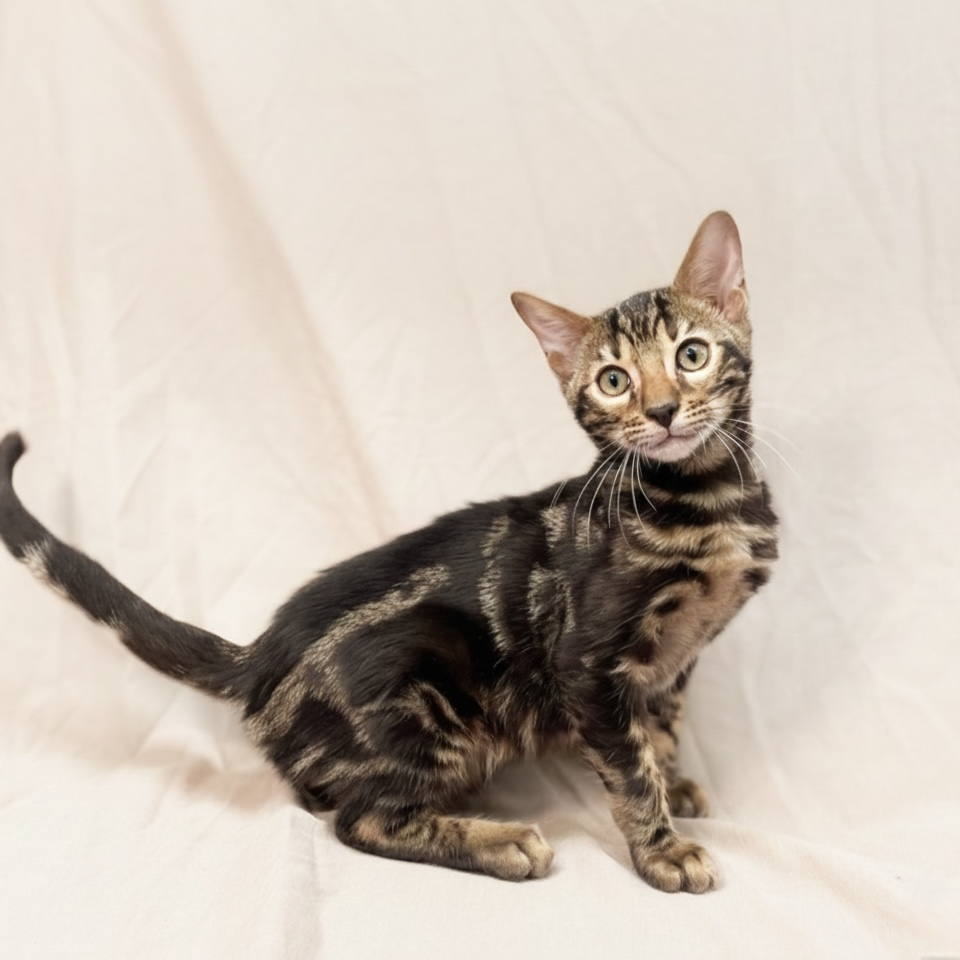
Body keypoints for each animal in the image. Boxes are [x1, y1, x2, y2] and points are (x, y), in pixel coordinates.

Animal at [0, 211, 777, 894]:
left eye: (691, 355)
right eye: (614, 381)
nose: (663, 412)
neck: (707, 502)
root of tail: (259, 656)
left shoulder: (671, 663)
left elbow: (660, 731)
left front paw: (675, 783)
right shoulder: (587, 663)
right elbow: (627, 766)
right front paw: (663, 847)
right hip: (426, 691)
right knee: (358, 819)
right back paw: (499, 841)